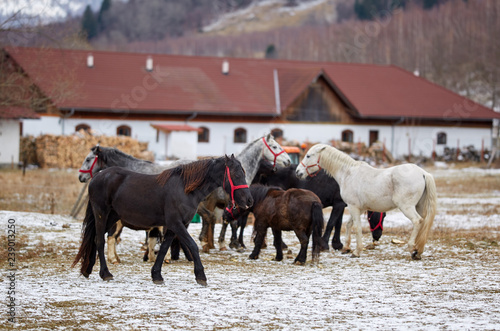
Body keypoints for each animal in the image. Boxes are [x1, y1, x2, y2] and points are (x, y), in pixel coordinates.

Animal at [73, 156, 254, 286]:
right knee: (99, 240)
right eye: (237, 175)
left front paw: (156, 275)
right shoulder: (176, 224)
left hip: (113, 217)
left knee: (94, 239)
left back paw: (88, 269)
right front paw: (201, 276)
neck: (184, 189)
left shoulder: (175, 226)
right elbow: (192, 246)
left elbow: (164, 247)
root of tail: (97, 177)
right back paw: (105, 273)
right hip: (102, 214)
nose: (249, 200)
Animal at [294, 144, 436, 260]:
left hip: (407, 207)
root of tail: (423, 173)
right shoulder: (357, 208)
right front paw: (346, 248)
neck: (348, 173)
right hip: (419, 206)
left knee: (417, 221)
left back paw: (412, 248)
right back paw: (418, 251)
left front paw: (356, 251)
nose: (298, 172)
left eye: (308, 155)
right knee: (422, 224)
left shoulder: (353, 207)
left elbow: (356, 227)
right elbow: (348, 225)